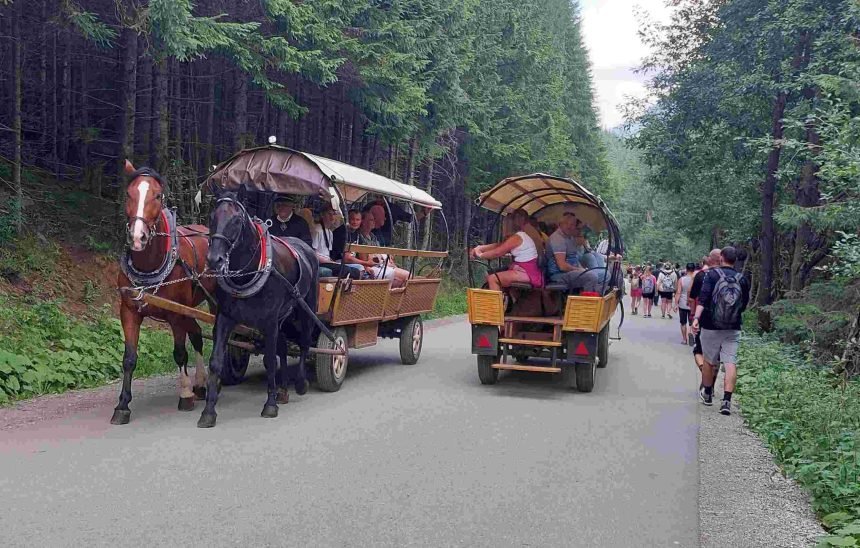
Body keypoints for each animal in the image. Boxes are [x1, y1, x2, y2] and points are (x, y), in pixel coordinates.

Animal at [111, 161, 217, 426]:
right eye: (129, 193)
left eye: (157, 196)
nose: (137, 237)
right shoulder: (129, 311)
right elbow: (129, 358)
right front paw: (122, 405)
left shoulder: (175, 315)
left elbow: (179, 353)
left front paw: (185, 395)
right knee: (198, 335)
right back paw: (201, 384)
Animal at [201, 189, 320, 428]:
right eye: (211, 217)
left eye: (236, 220)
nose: (214, 259)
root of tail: (306, 249)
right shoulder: (225, 318)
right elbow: (216, 361)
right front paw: (208, 411)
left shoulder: (269, 321)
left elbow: (270, 361)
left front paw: (270, 405)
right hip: (284, 317)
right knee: (283, 347)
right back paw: (283, 389)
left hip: (305, 309)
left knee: (303, 343)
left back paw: (300, 383)